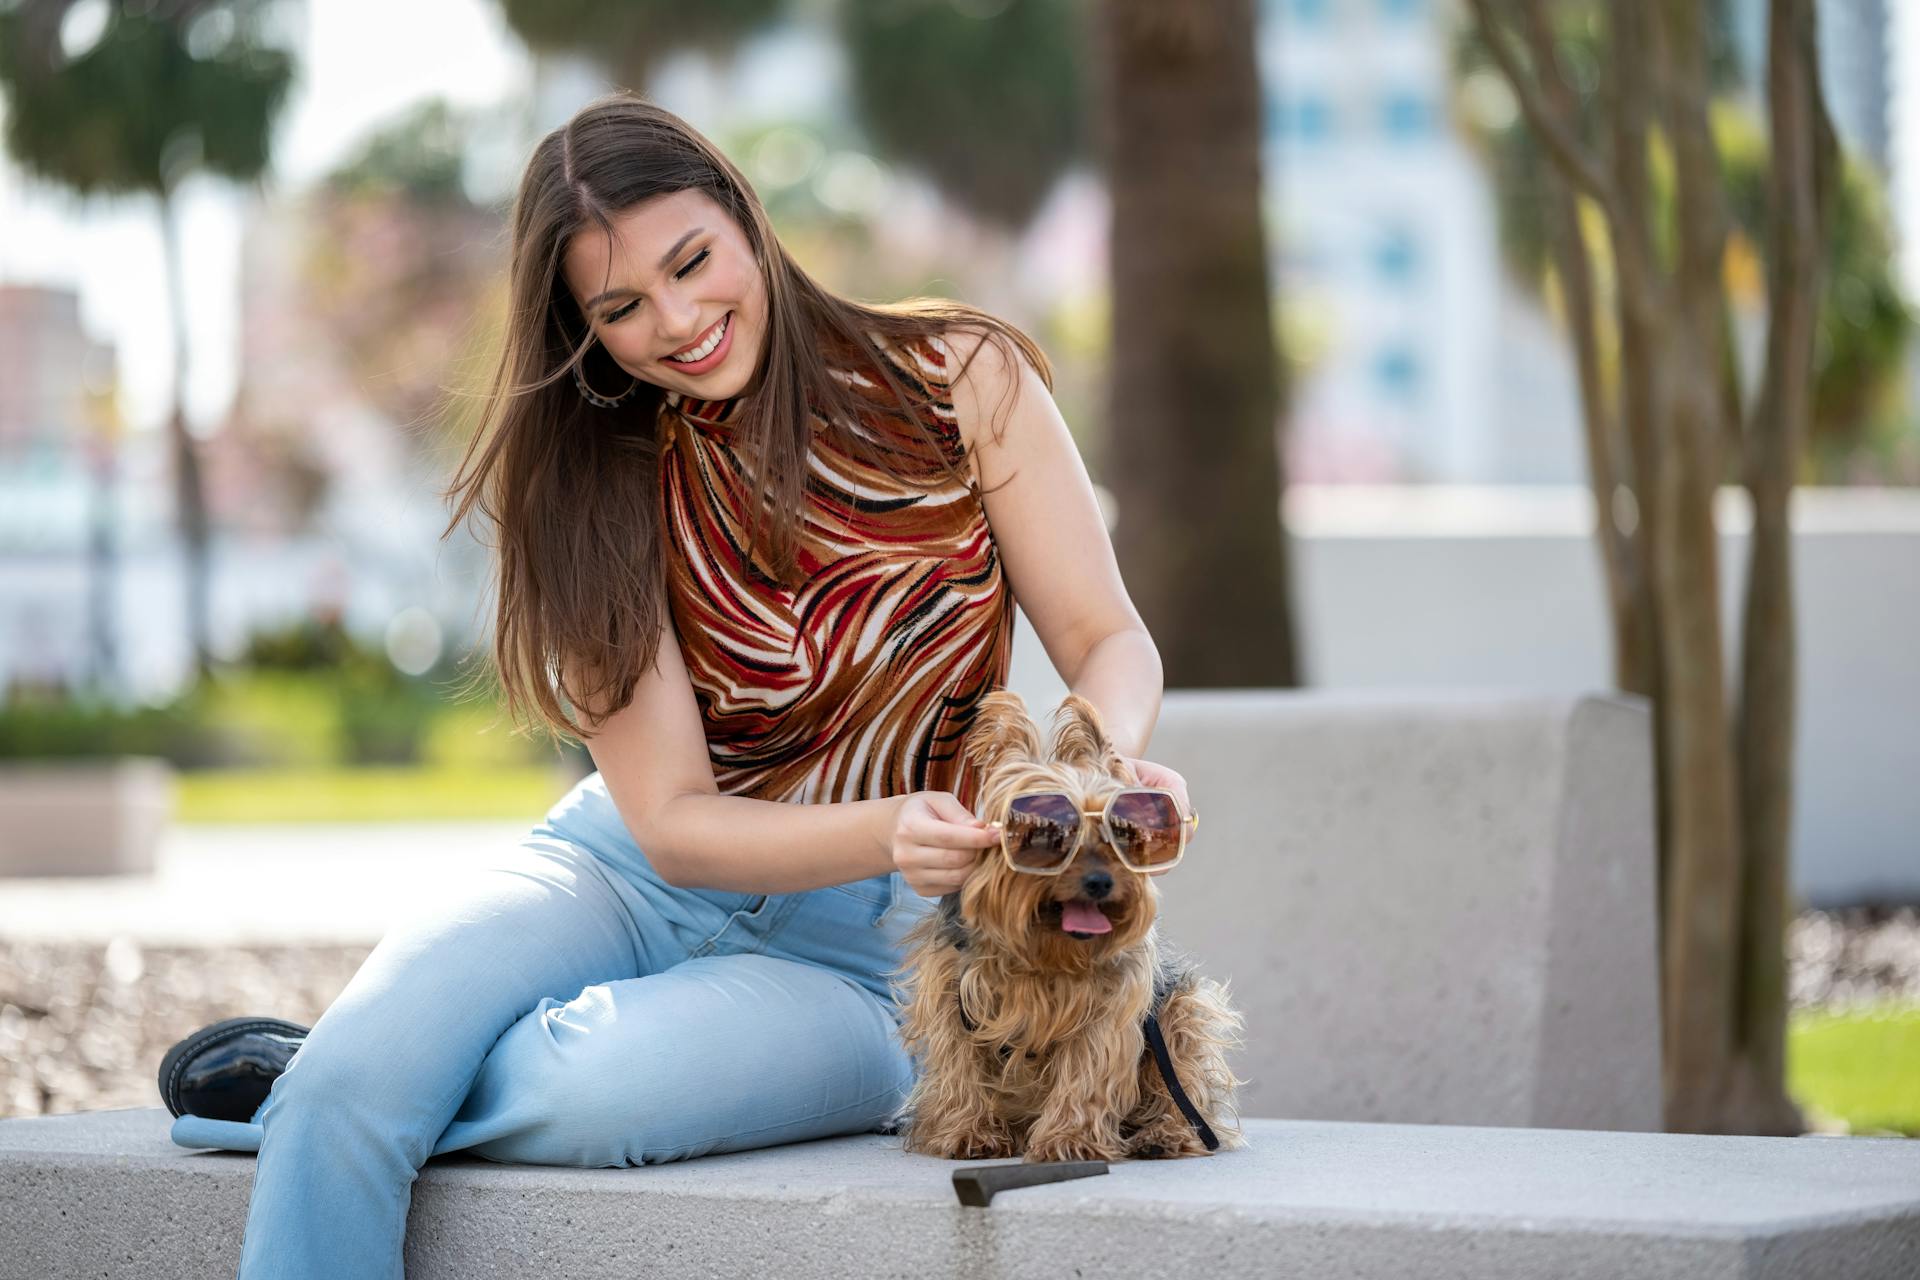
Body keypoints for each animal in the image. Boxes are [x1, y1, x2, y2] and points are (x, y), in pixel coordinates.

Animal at [890, 694, 1251, 1166]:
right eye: (1048, 834)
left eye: (1123, 832)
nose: (1100, 882)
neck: (1046, 950)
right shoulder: (950, 992)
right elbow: (959, 1066)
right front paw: (968, 1132)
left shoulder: (1111, 1003)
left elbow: (1088, 1071)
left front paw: (1069, 1141)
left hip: (1179, 1010)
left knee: (1182, 1078)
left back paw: (1165, 1134)